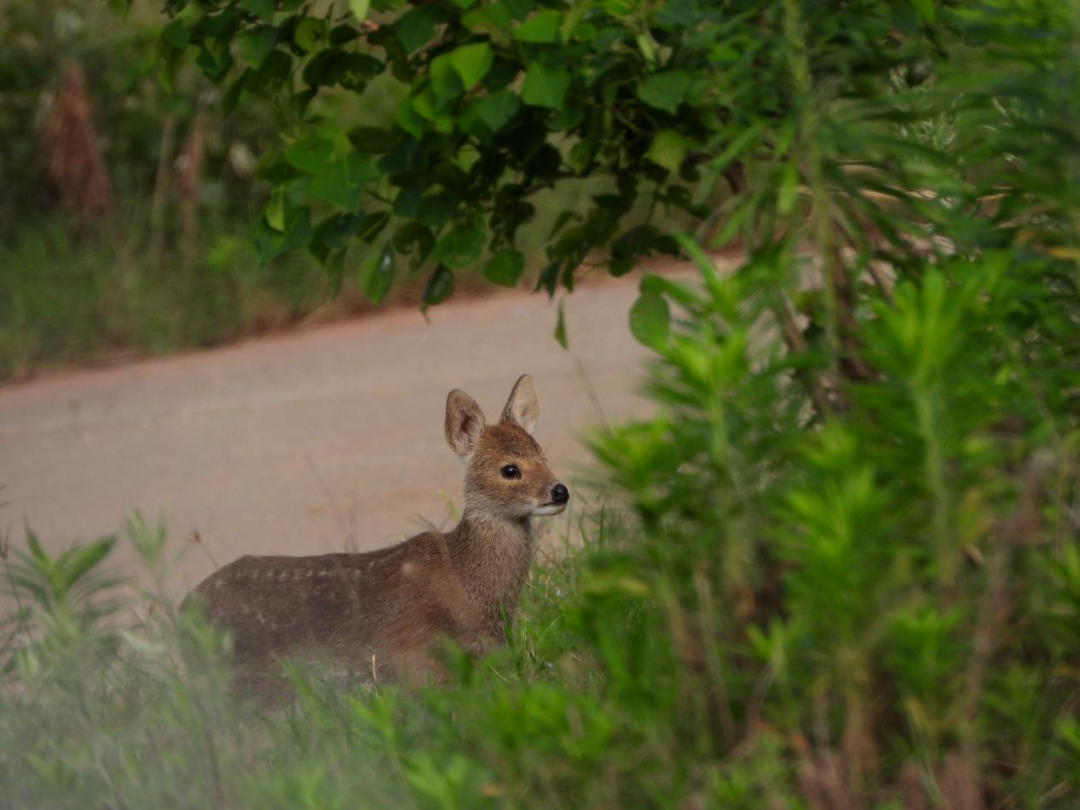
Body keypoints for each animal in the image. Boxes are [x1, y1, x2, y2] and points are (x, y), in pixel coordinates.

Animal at [181, 378, 570, 695]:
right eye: (510, 469)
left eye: (544, 456)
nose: (560, 491)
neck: (468, 584)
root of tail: (182, 612)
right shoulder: (414, 658)